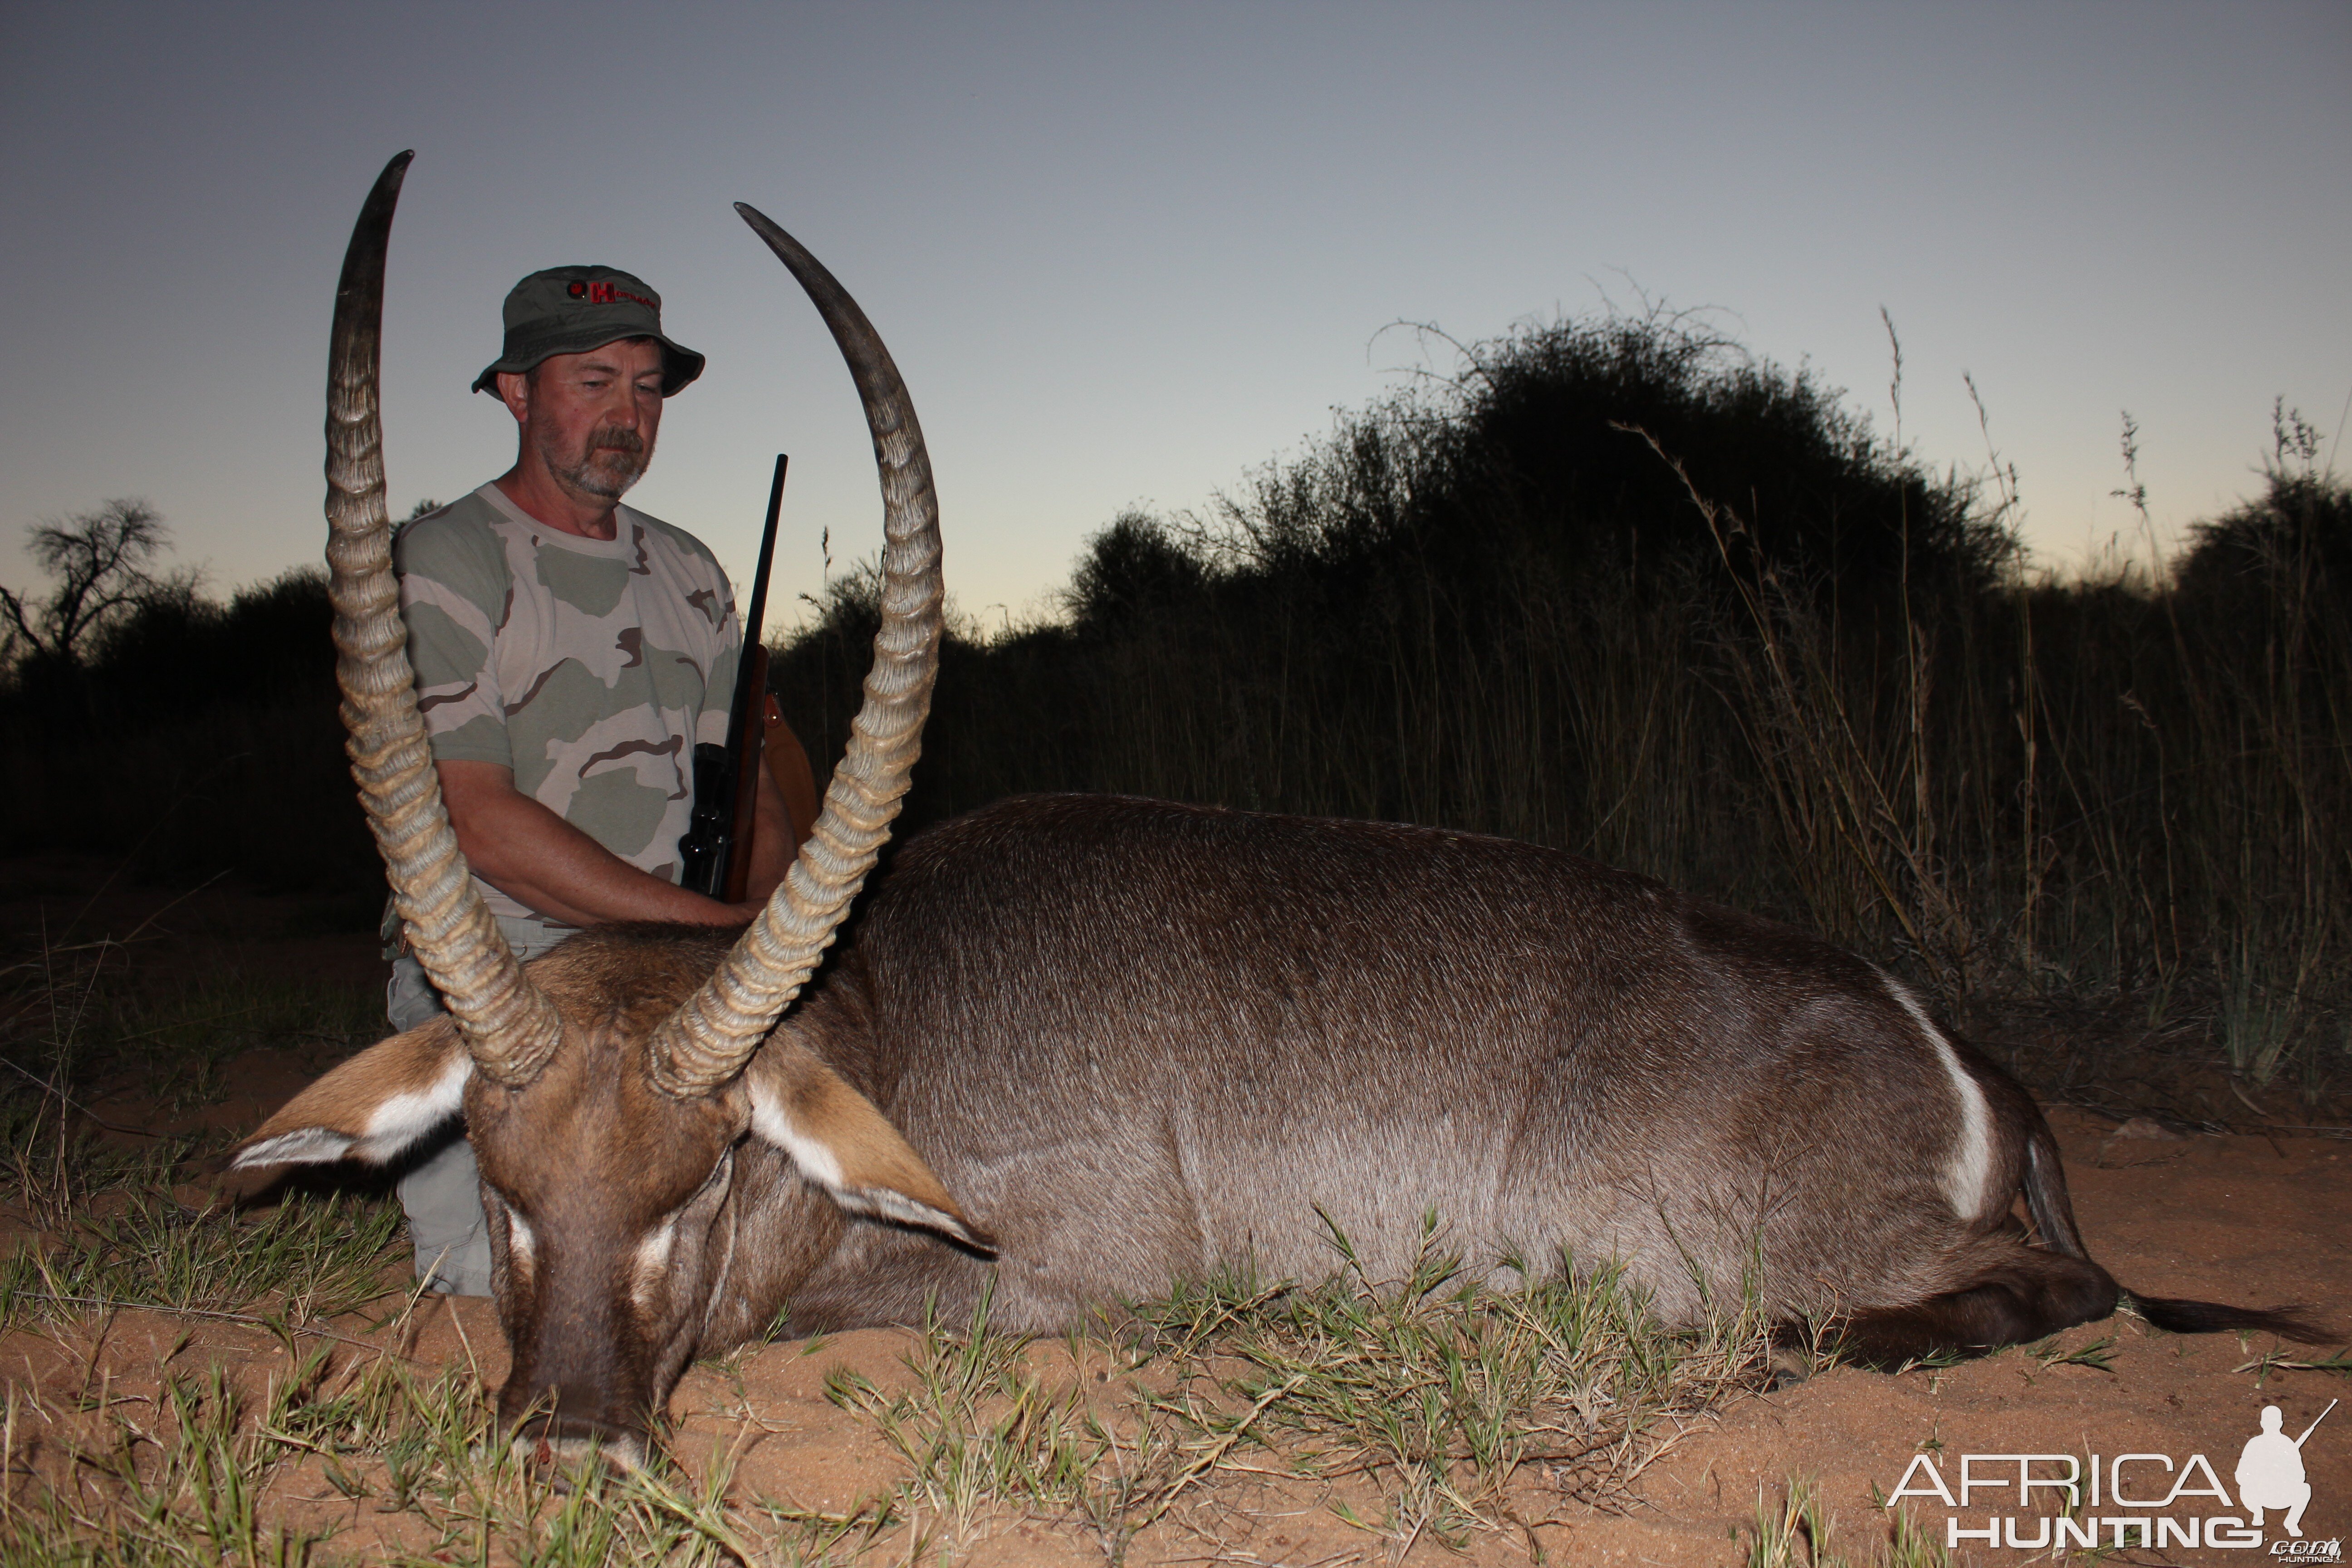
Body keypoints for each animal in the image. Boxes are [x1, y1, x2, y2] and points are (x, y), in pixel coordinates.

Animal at [229, 152, 2323, 1476]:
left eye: (714, 1171)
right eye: (500, 1185)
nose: (575, 1438)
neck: (887, 1015)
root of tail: (1964, 1052)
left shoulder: (1047, 1287)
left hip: (1732, 1257)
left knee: (2050, 1290)